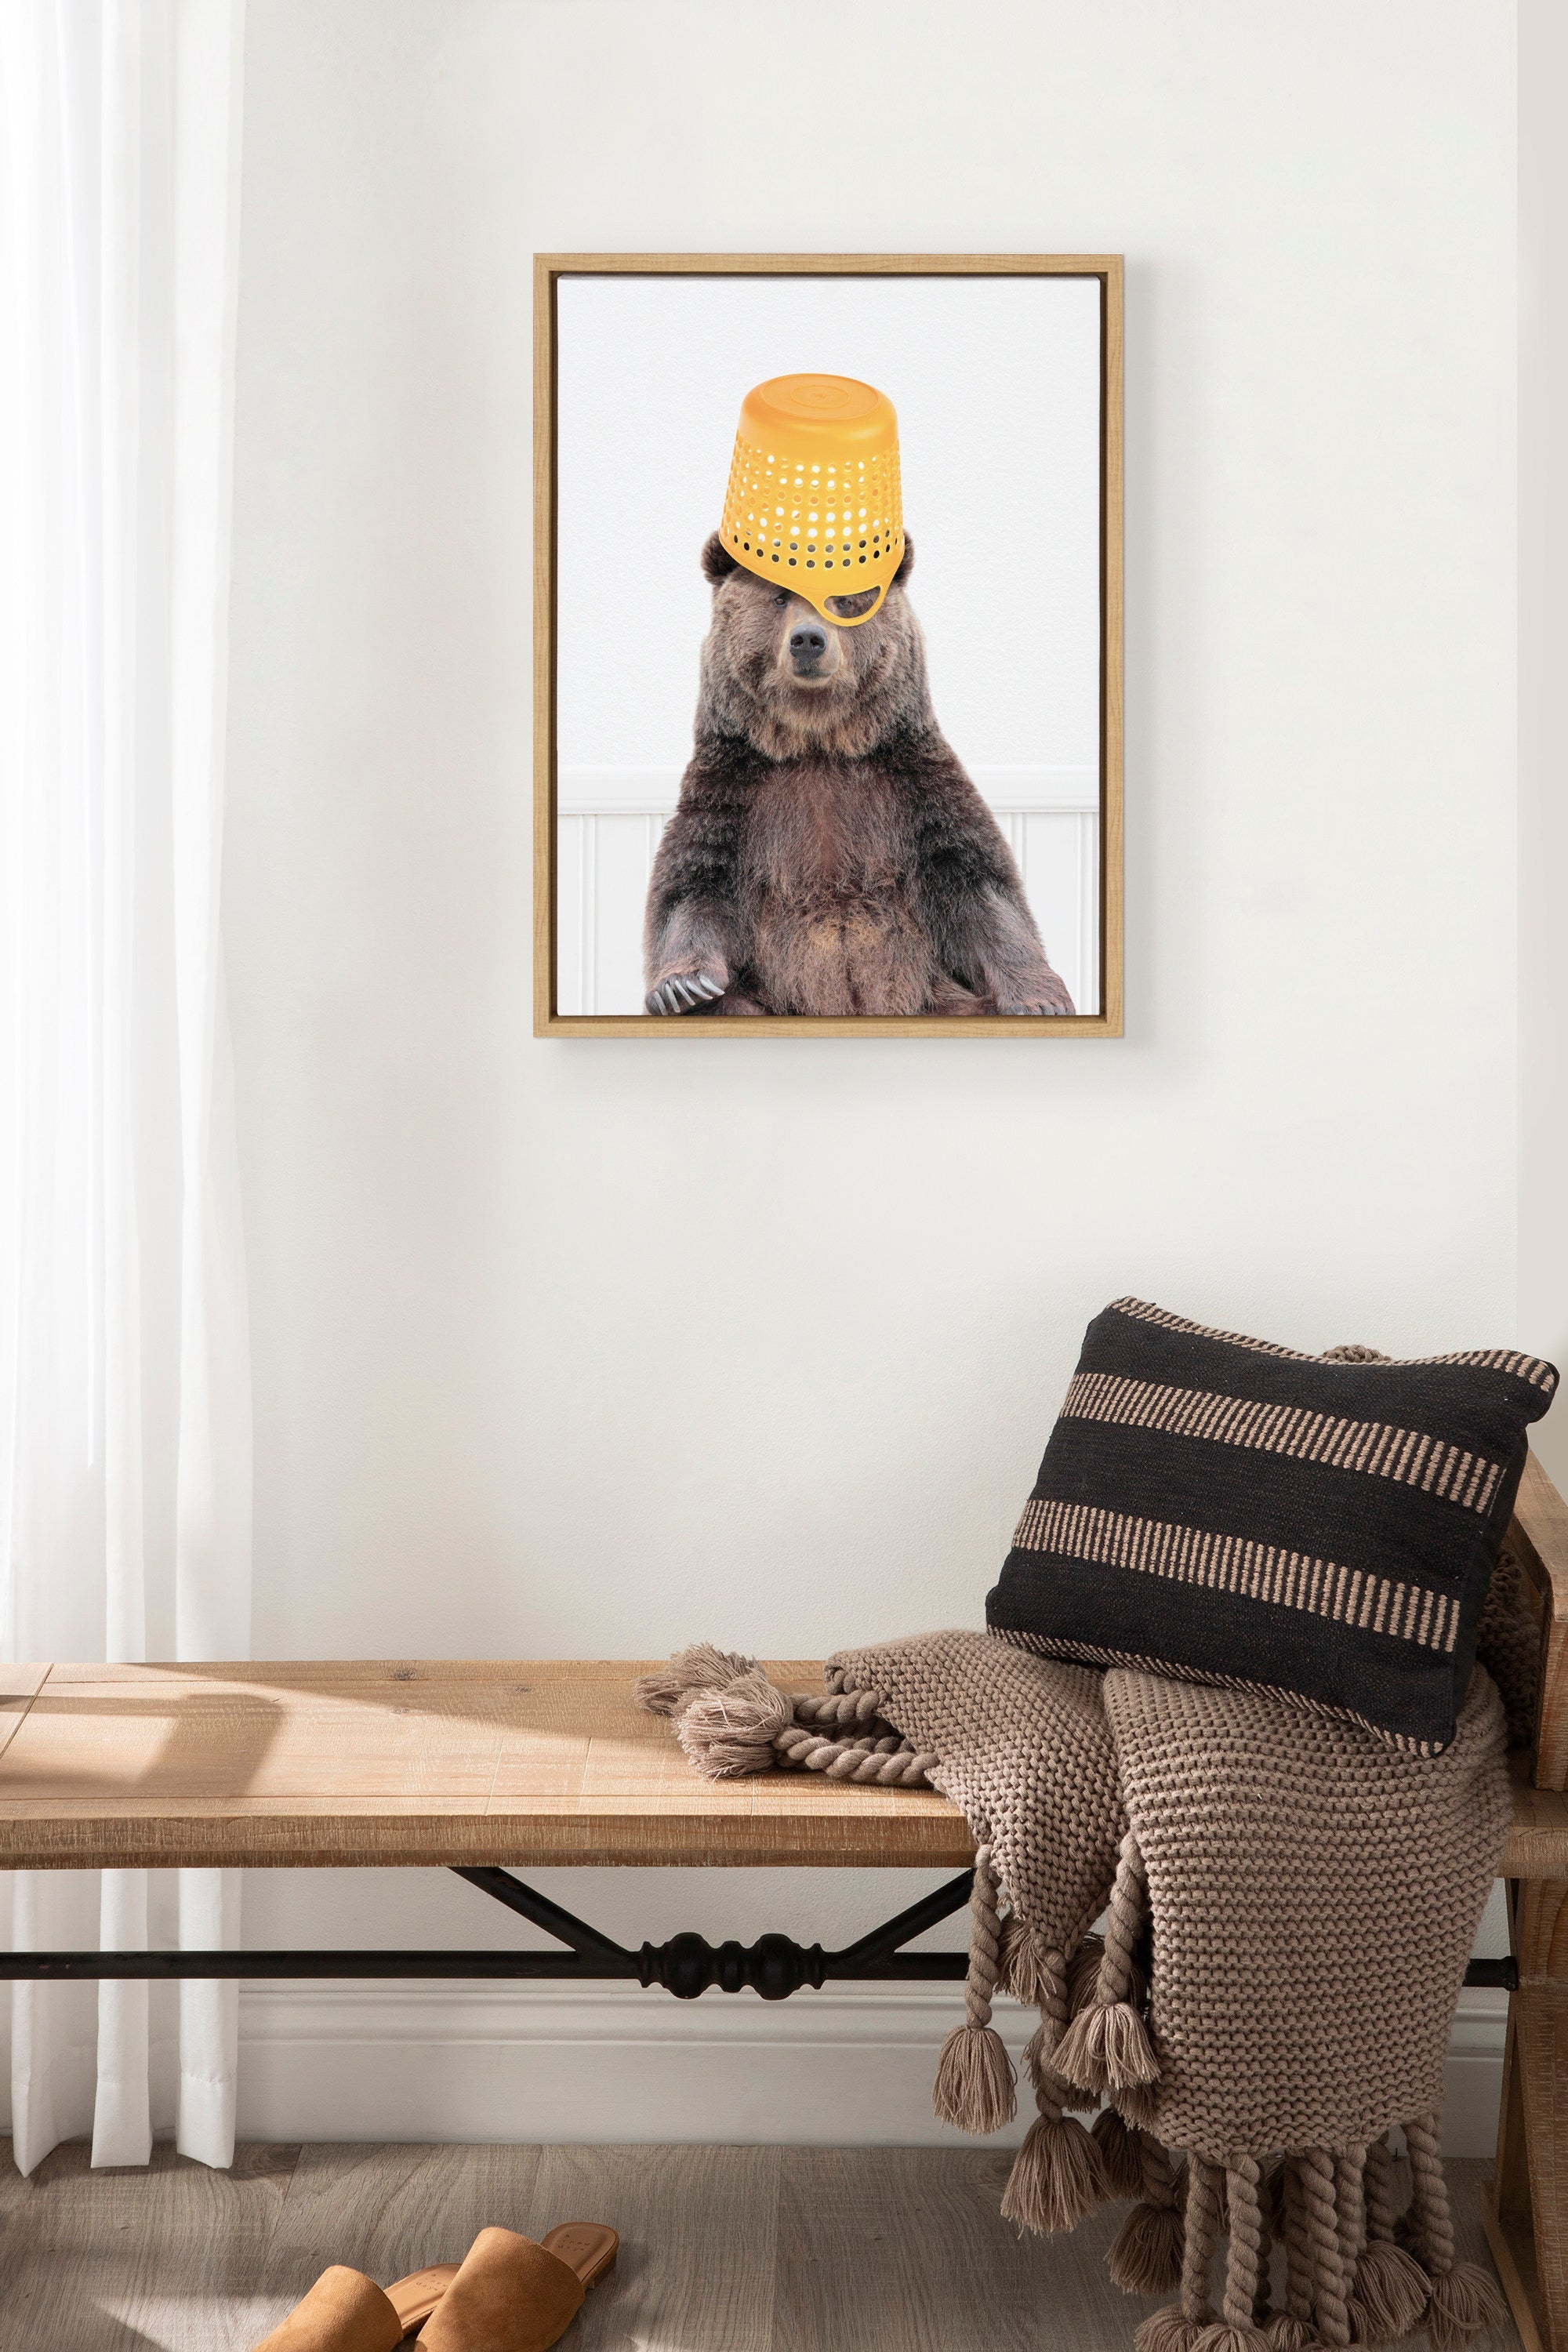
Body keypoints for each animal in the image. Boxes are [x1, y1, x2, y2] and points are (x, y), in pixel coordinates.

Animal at [641, 534, 1077, 1017]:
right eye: (779, 596)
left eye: (844, 599)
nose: (808, 639)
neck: (819, 742)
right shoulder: (734, 791)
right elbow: (693, 887)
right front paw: (682, 987)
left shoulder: (913, 786)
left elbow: (977, 885)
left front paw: (1041, 1000)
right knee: (737, 1004)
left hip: (939, 998)